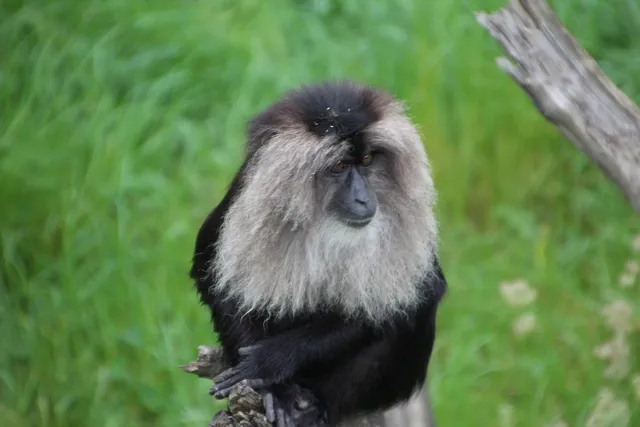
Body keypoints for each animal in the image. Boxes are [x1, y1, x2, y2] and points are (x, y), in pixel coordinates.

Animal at [190, 80, 447, 427]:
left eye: (368, 160)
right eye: (339, 166)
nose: (363, 198)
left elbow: (418, 296)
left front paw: (271, 361)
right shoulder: (245, 192)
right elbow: (212, 278)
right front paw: (276, 389)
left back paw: (317, 408)